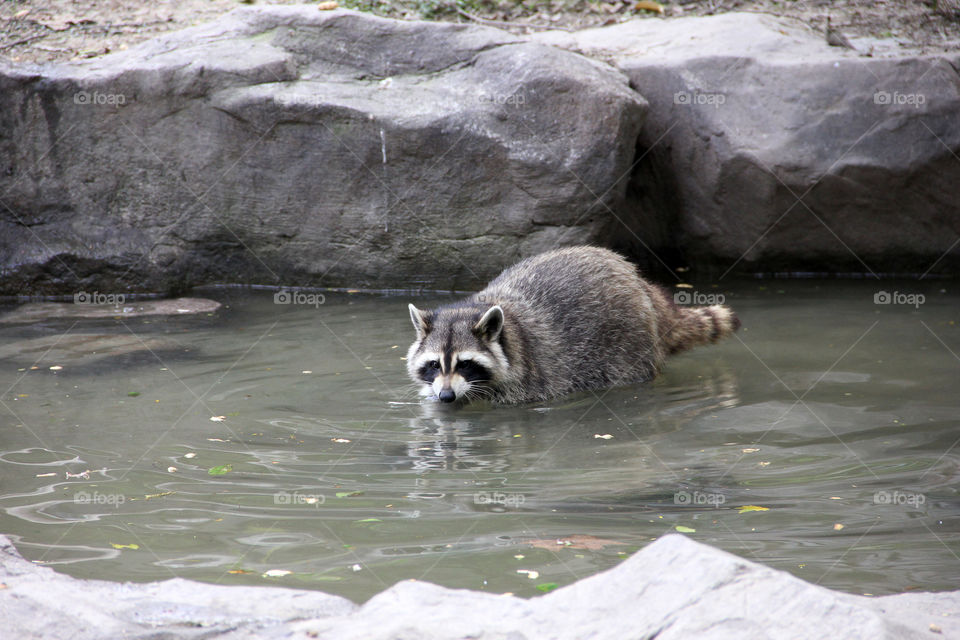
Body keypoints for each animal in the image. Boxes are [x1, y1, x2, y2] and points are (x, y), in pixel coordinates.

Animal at [404, 246, 736, 404]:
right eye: (434, 364)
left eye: (465, 363)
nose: (447, 397)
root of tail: (640, 282)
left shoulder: (529, 380)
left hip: (630, 340)